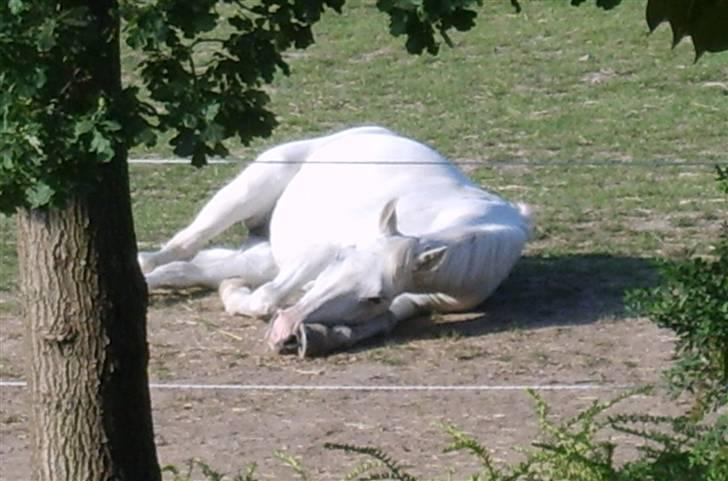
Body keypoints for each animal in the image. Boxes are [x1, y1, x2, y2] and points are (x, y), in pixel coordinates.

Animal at [139, 126, 532, 356]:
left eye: (375, 296)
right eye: (342, 257)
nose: (284, 328)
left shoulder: (408, 301)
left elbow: (377, 323)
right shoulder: (318, 252)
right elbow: (267, 299)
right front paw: (245, 299)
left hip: (262, 257)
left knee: (185, 269)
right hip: (248, 193)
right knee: (181, 247)